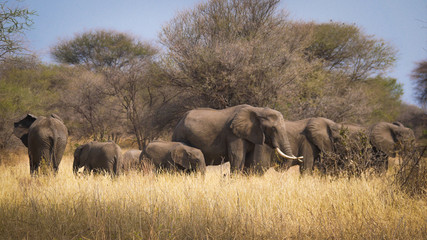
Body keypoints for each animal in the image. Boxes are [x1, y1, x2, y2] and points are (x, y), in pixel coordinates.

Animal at [172, 103, 302, 172]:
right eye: (273, 129)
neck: (257, 110)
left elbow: (249, 159)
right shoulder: (233, 135)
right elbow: (237, 157)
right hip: (180, 135)